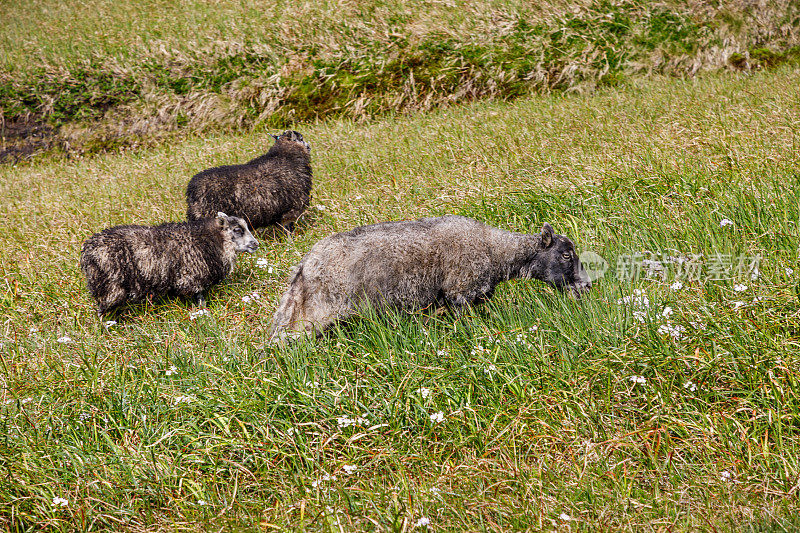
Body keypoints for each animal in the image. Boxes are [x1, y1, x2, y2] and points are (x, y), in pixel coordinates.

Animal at [81, 212, 258, 316]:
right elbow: (200, 298)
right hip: (110, 286)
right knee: (103, 310)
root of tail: (87, 252)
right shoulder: (192, 277)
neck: (212, 240)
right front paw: (205, 314)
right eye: (237, 230)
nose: (256, 244)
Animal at [272, 215, 592, 336]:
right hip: (318, 310)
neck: (497, 252)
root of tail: (305, 264)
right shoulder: (460, 293)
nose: (587, 286)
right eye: (566, 255)